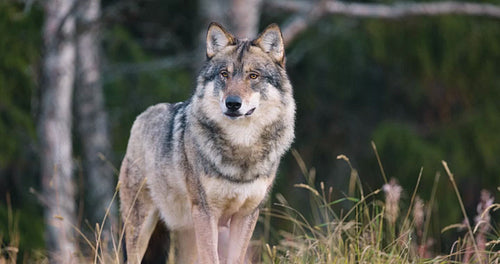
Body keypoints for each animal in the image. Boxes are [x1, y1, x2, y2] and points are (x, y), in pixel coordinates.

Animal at [119, 22, 294, 264]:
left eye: (253, 75)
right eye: (224, 74)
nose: (232, 103)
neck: (241, 147)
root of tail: (141, 117)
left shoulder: (246, 215)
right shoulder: (205, 212)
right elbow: (212, 258)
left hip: (187, 235)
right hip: (141, 224)